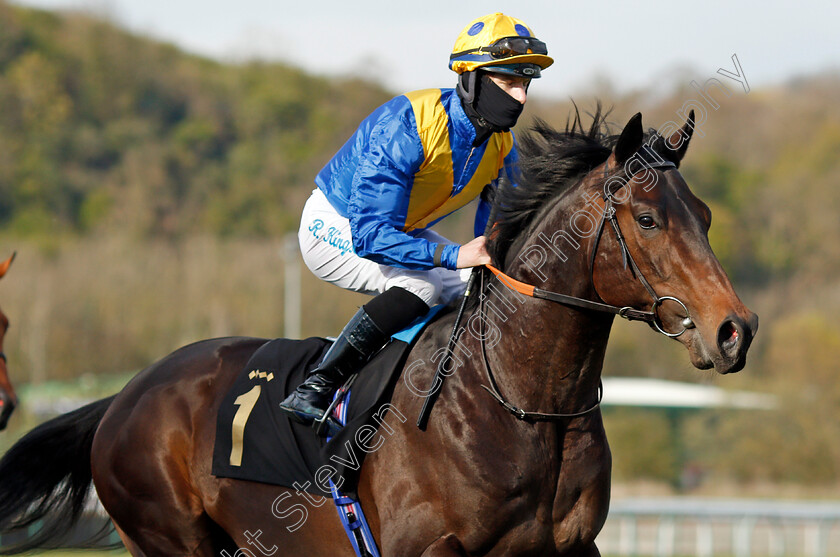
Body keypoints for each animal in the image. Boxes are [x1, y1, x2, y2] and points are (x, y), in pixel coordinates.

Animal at [0, 111, 756, 552]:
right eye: (649, 220)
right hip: (170, 539)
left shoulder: (570, 547)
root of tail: (125, 395)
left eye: (705, 215)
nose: (733, 330)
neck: (521, 404)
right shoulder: (424, 550)